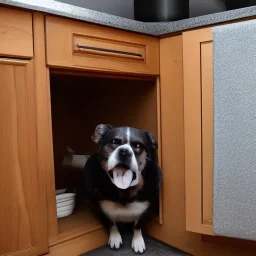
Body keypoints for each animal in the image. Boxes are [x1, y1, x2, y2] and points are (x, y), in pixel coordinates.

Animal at [84, 124, 162, 254]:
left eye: (138, 146)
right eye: (114, 141)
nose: (124, 152)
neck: (124, 191)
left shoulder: (147, 209)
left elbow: (137, 225)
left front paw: (138, 241)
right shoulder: (100, 208)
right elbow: (111, 223)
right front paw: (115, 237)